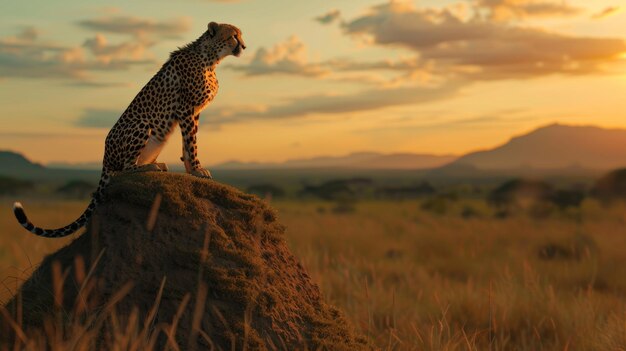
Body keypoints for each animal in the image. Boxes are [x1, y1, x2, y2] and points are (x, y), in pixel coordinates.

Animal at [12, 22, 245, 239]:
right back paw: (151, 167)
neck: (211, 59)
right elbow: (191, 142)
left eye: (240, 35)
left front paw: (191, 168)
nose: (244, 46)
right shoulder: (186, 109)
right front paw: (197, 169)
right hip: (141, 124)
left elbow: (187, 145)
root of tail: (104, 159)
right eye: (234, 36)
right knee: (124, 168)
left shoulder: (193, 112)